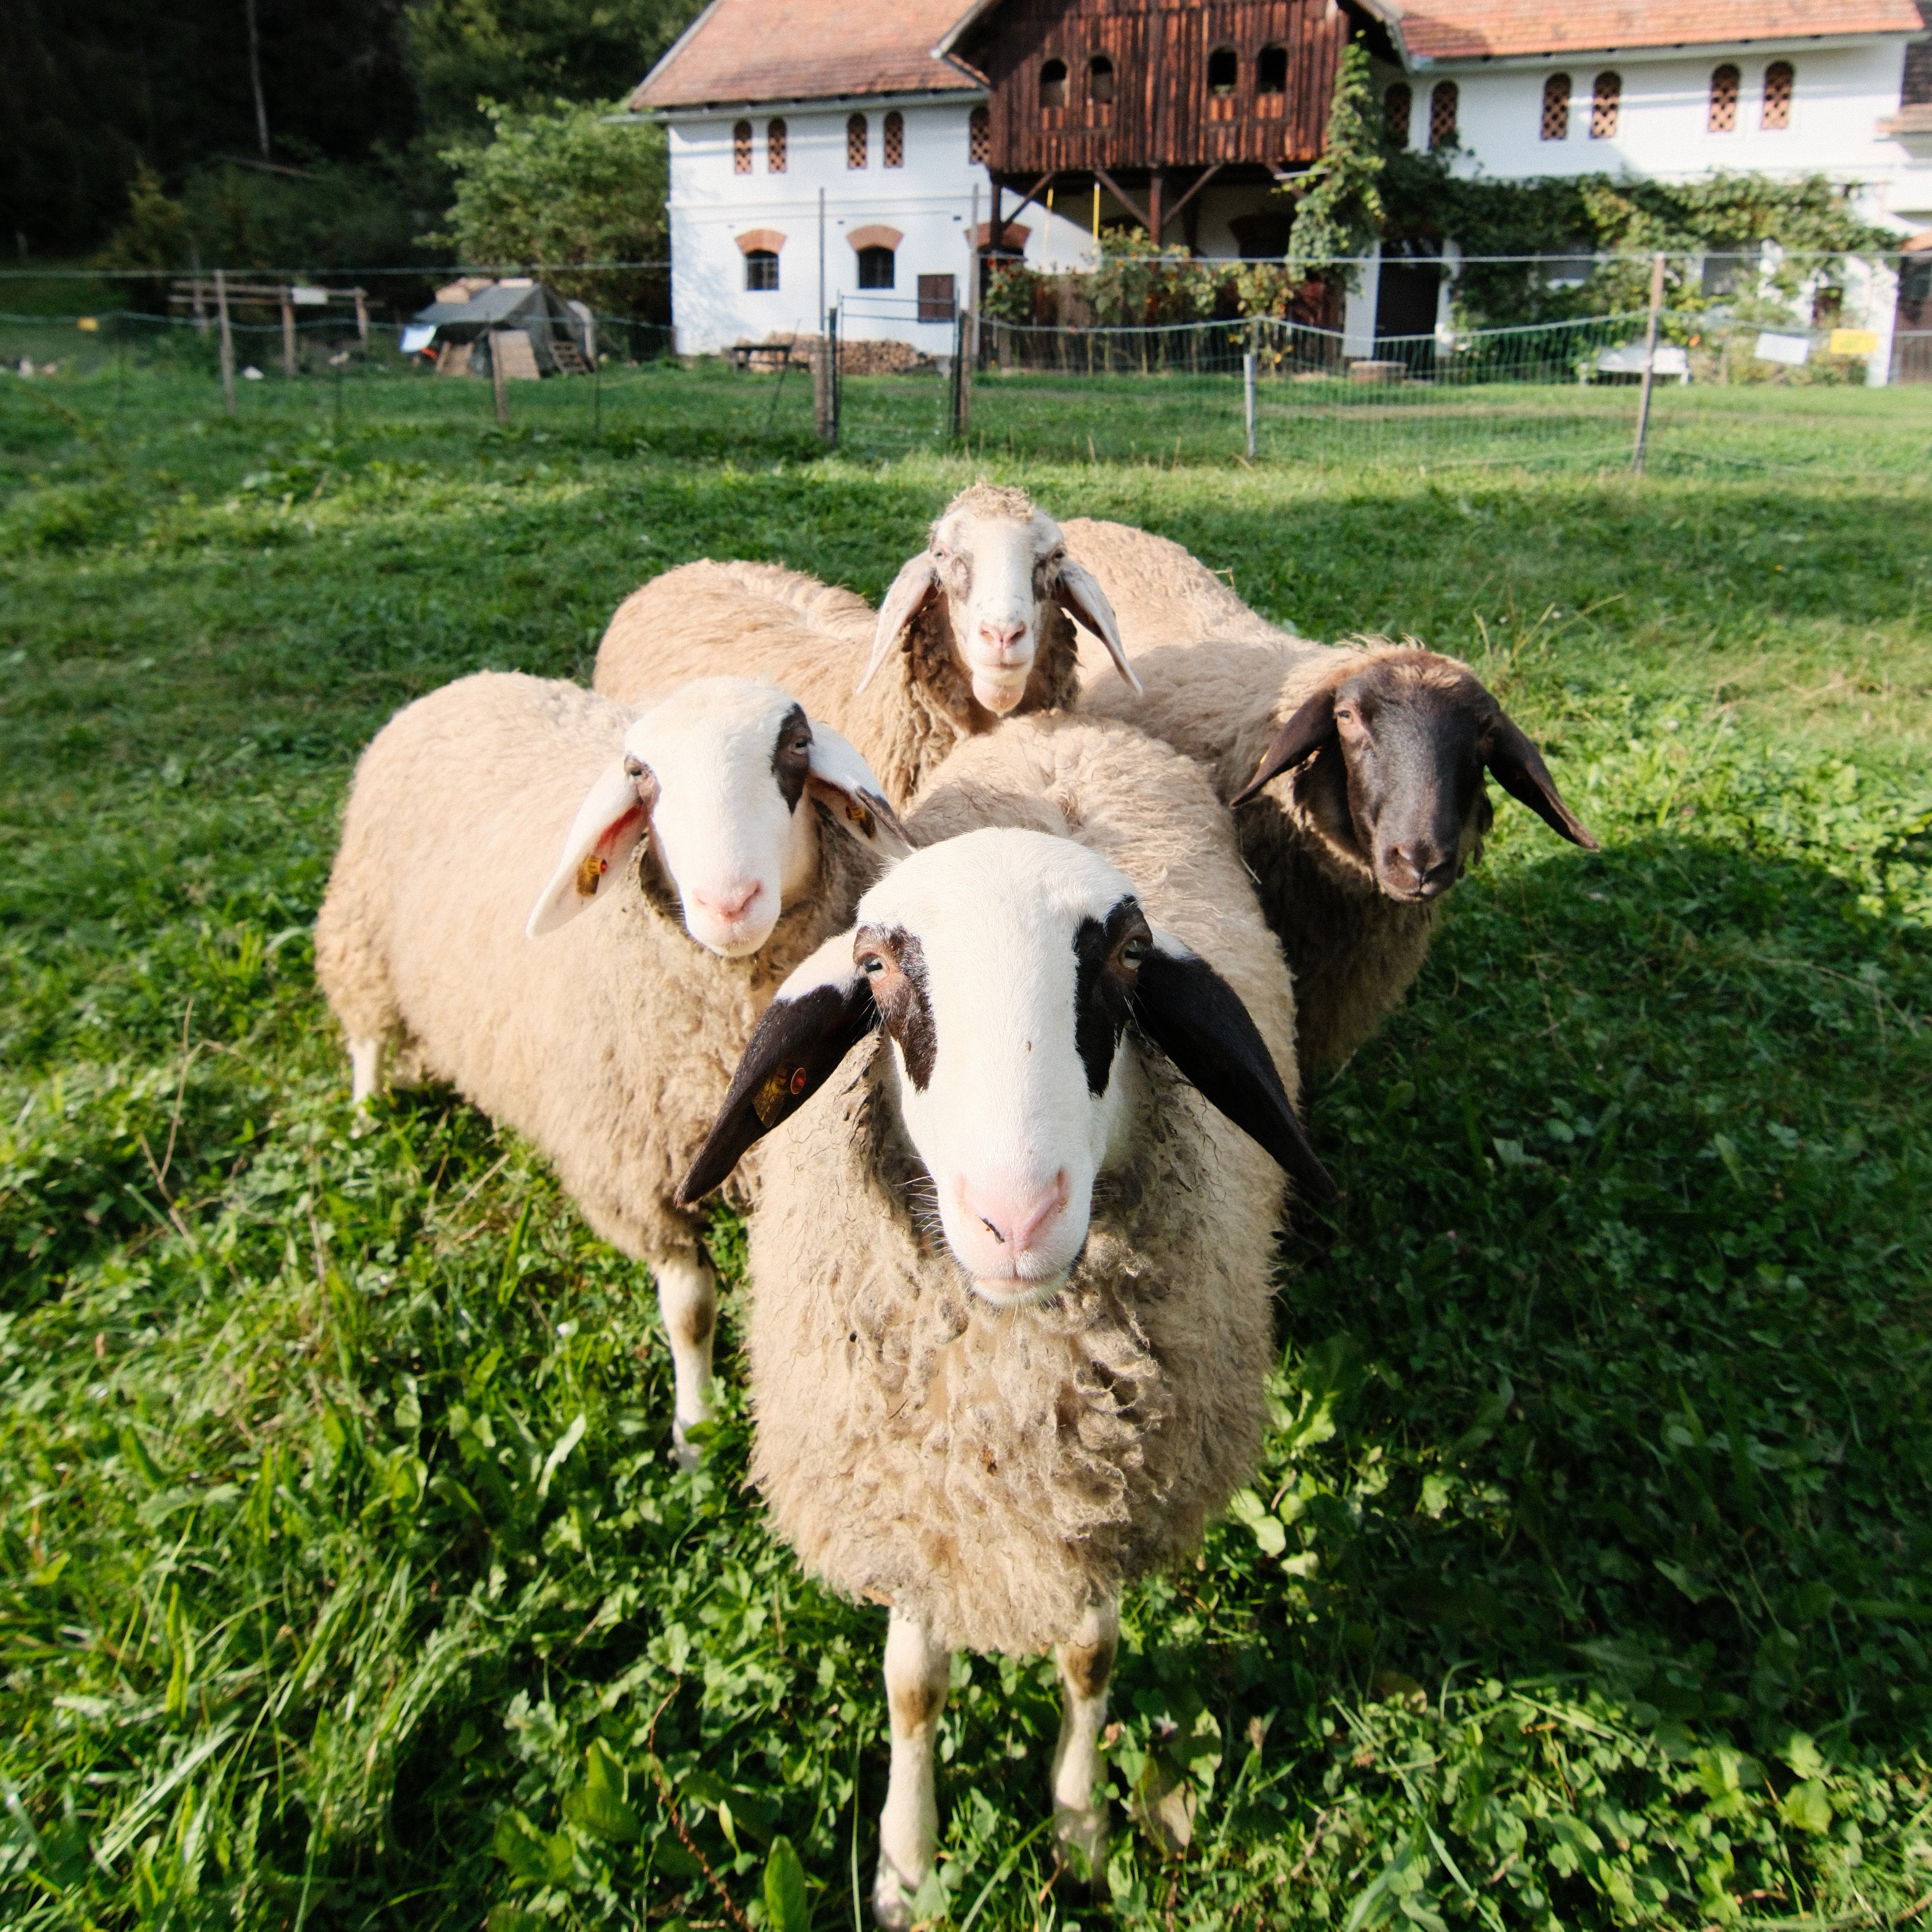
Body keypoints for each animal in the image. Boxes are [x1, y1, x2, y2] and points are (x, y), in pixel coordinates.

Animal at [313, 671, 906, 1466]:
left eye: (796, 748)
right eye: (641, 776)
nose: (728, 903)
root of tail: (462, 684)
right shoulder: (636, 1181)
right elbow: (690, 1313)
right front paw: (696, 1430)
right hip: (363, 932)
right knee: (367, 1035)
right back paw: (365, 1114)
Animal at [675, 715, 1335, 1923]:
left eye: (1125, 957)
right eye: (878, 967)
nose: (1015, 1215)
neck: (1008, 1402)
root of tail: (1070, 728)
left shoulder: (1102, 1509)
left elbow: (1089, 1662)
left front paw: (1079, 1831)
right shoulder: (912, 1505)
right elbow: (912, 1687)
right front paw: (906, 1867)